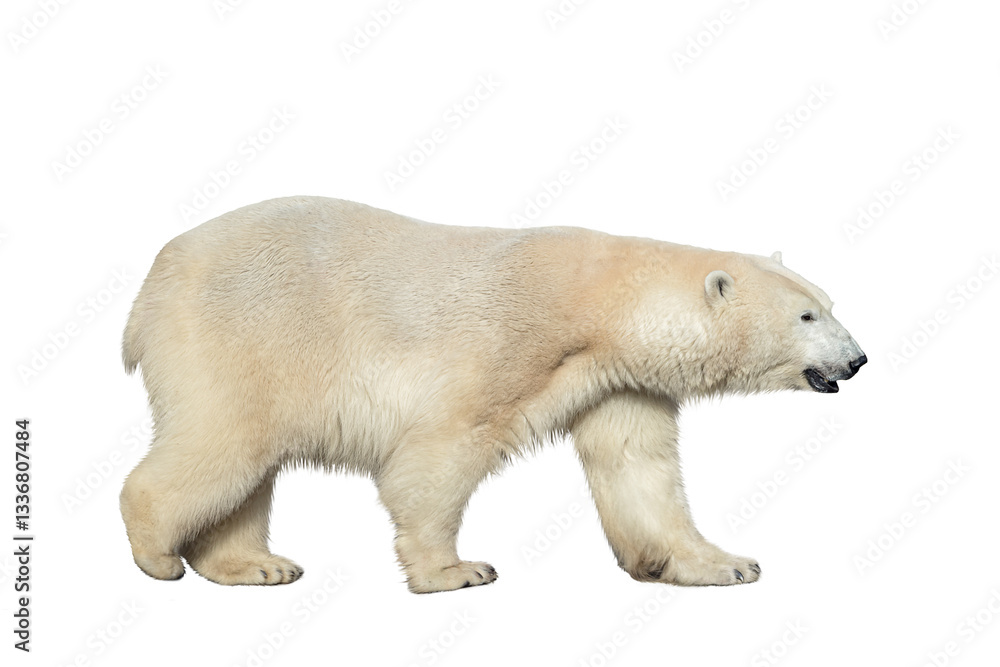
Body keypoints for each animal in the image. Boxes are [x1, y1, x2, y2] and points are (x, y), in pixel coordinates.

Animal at [120, 196, 866, 592]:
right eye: (807, 316)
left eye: (829, 303)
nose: (858, 359)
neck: (602, 307)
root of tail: (152, 280)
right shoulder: (507, 348)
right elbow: (435, 458)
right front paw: (456, 570)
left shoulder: (617, 379)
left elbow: (638, 469)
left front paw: (726, 563)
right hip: (240, 337)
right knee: (223, 443)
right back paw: (158, 555)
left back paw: (257, 565)